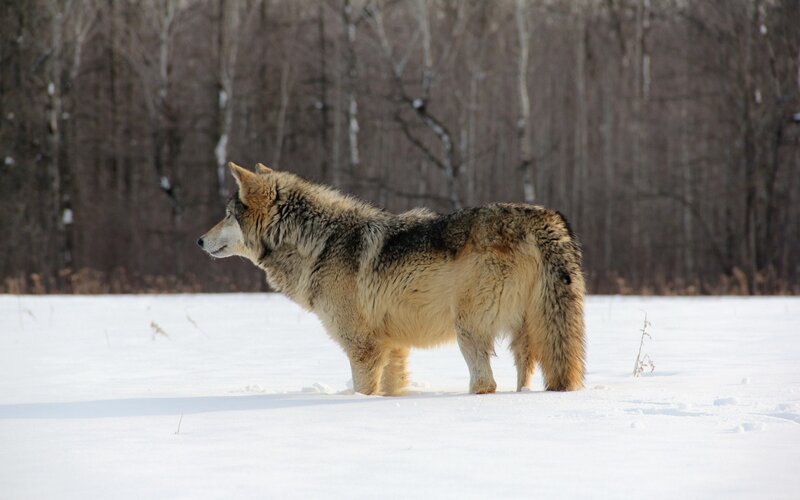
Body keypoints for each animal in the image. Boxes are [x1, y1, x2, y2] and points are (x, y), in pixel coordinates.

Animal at [198, 162, 585, 396]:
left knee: (485, 383)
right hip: (529, 336)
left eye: (227, 215)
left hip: (468, 329)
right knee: (525, 379)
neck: (320, 243)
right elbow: (389, 389)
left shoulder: (363, 348)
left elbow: (362, 390)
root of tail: (544, 218)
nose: (199, 241)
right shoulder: (393, 347)